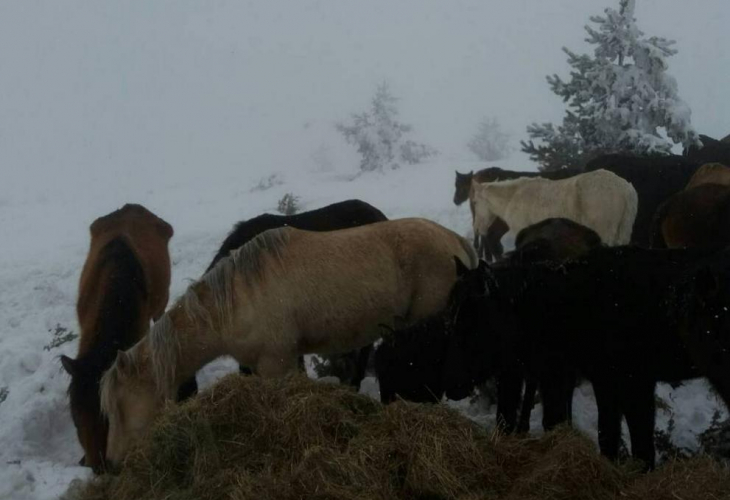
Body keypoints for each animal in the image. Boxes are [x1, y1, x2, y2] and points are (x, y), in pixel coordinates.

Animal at [99, 219, 474, 464]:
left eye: (118, 406)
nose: (112, 462)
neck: (237, 299)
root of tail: (453, 240)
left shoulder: (274, 364)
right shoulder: (283, 359)